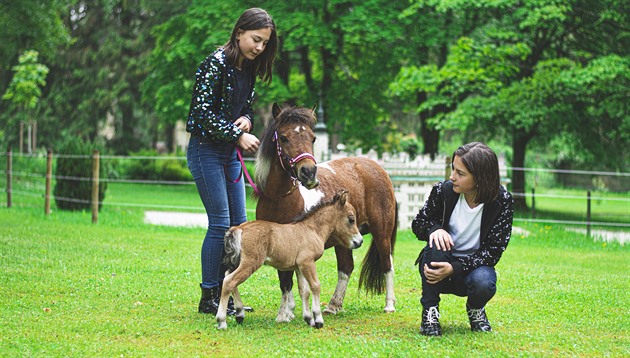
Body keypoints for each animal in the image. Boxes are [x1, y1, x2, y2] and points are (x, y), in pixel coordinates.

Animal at [218, 190, 362, 330]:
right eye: (351, 219)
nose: (359, 242)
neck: (312, 230)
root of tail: (239, 228)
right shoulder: (308, 262)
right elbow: (315, 286)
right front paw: (318, 320)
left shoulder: (299, 267)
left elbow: (304, 291)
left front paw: (309, 319)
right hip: (251, 262)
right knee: (229, 281)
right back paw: (222, 321)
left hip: (239, 261)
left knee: (228, 276)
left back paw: (239, 314)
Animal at [254, 103, 398, 322]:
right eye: (284, 137)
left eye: (313, 137)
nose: (309, 173)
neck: (279, 199)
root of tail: (377, 168)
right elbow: (285, 278)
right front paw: (288, 312)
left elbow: (289, 279)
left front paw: (285, 314)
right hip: (345, 238)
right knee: (346, 268)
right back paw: (333, 306)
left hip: (382, 232)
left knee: (386, 263)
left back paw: (389, 304)